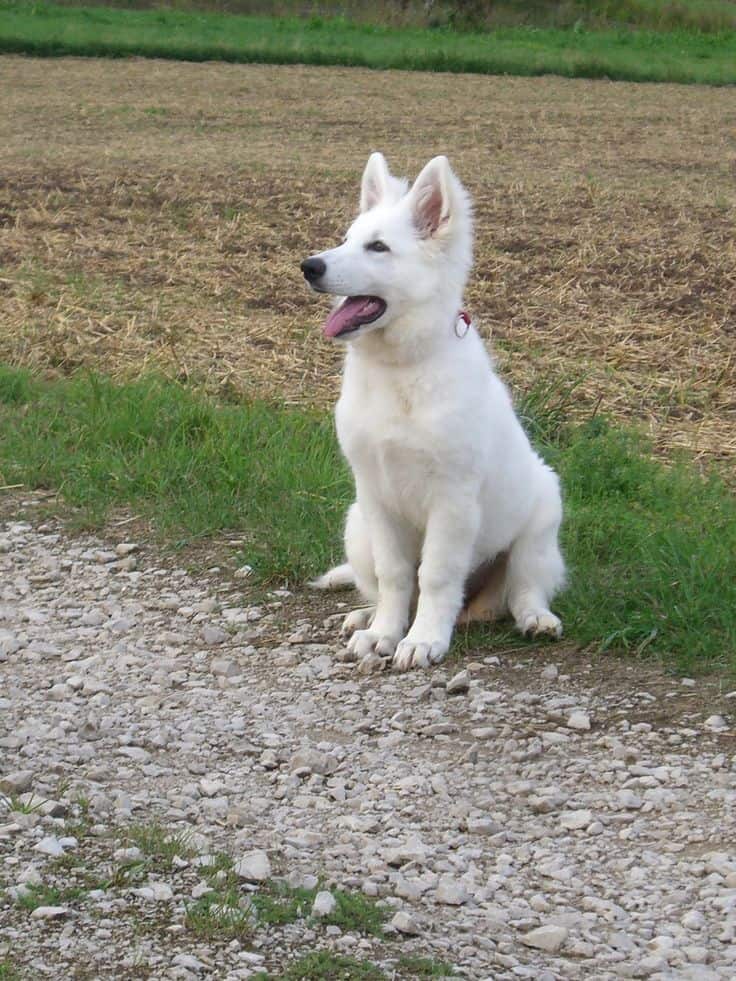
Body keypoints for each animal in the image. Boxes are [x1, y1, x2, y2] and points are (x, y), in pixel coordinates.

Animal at [302, 153, 568, 668]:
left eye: (378, 247)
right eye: (347, 238)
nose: (309, 266)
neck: (401, 370)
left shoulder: (452, 500)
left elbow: (436, 576)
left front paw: (424, 639)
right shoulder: (376, 495)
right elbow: (395, 576)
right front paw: (385, 633)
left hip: (541, 516)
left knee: (523, 590)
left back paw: (535, 619)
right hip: (356, 525)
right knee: (376, 584)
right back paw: (365, 617)